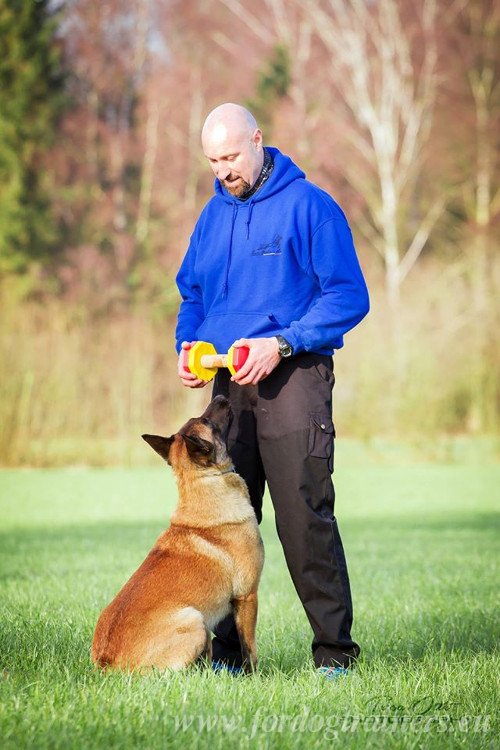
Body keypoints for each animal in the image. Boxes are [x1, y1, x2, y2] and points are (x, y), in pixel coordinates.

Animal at [91, 394, 264, 676]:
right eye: (207, 422)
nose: (221, 396)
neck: (201, 483)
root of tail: (107, 665)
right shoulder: (247, 596)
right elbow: (249, 649)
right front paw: (255, 677)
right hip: (196, 620)